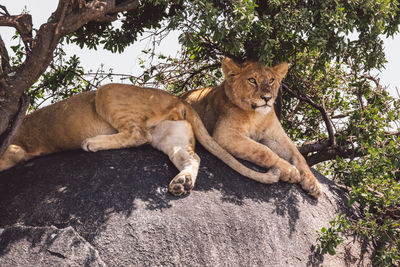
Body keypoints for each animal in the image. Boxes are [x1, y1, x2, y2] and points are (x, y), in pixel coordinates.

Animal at [181, 57, 322, 198]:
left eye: (271, 80)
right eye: (252, 80)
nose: (267, 98)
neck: (257, 116)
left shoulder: (276, 137)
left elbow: (299, 156)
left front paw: (314, 184)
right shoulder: (224, 134)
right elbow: (263, 151)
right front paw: (290, 171)